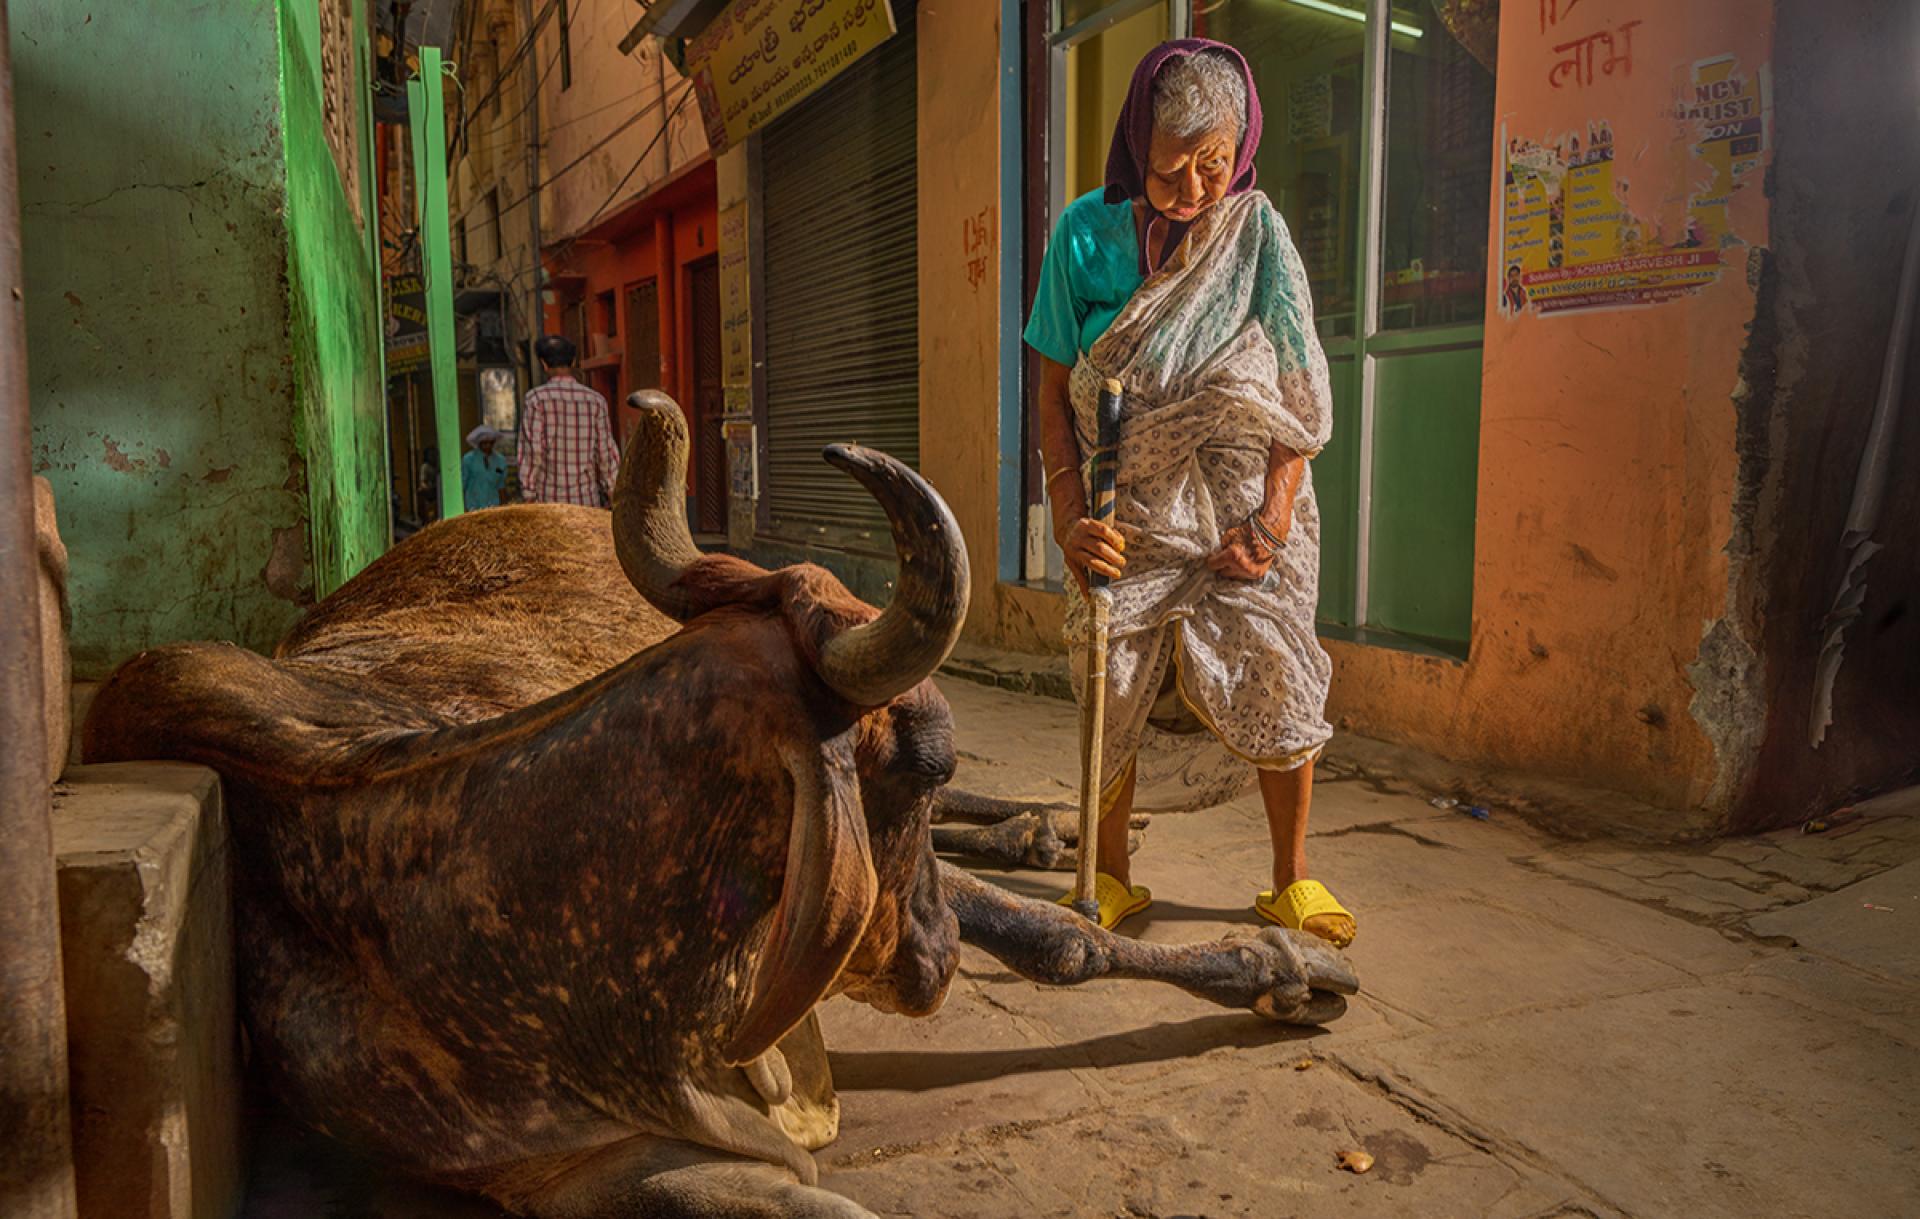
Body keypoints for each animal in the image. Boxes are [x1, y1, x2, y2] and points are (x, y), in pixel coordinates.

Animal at [86, 395, 1351, 1213]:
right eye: (925, 761)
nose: (935, 954)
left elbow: (1056, 940)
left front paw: (1271, 965)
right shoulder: (589, 1167)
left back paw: (1053, 828)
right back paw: (1036, 832)